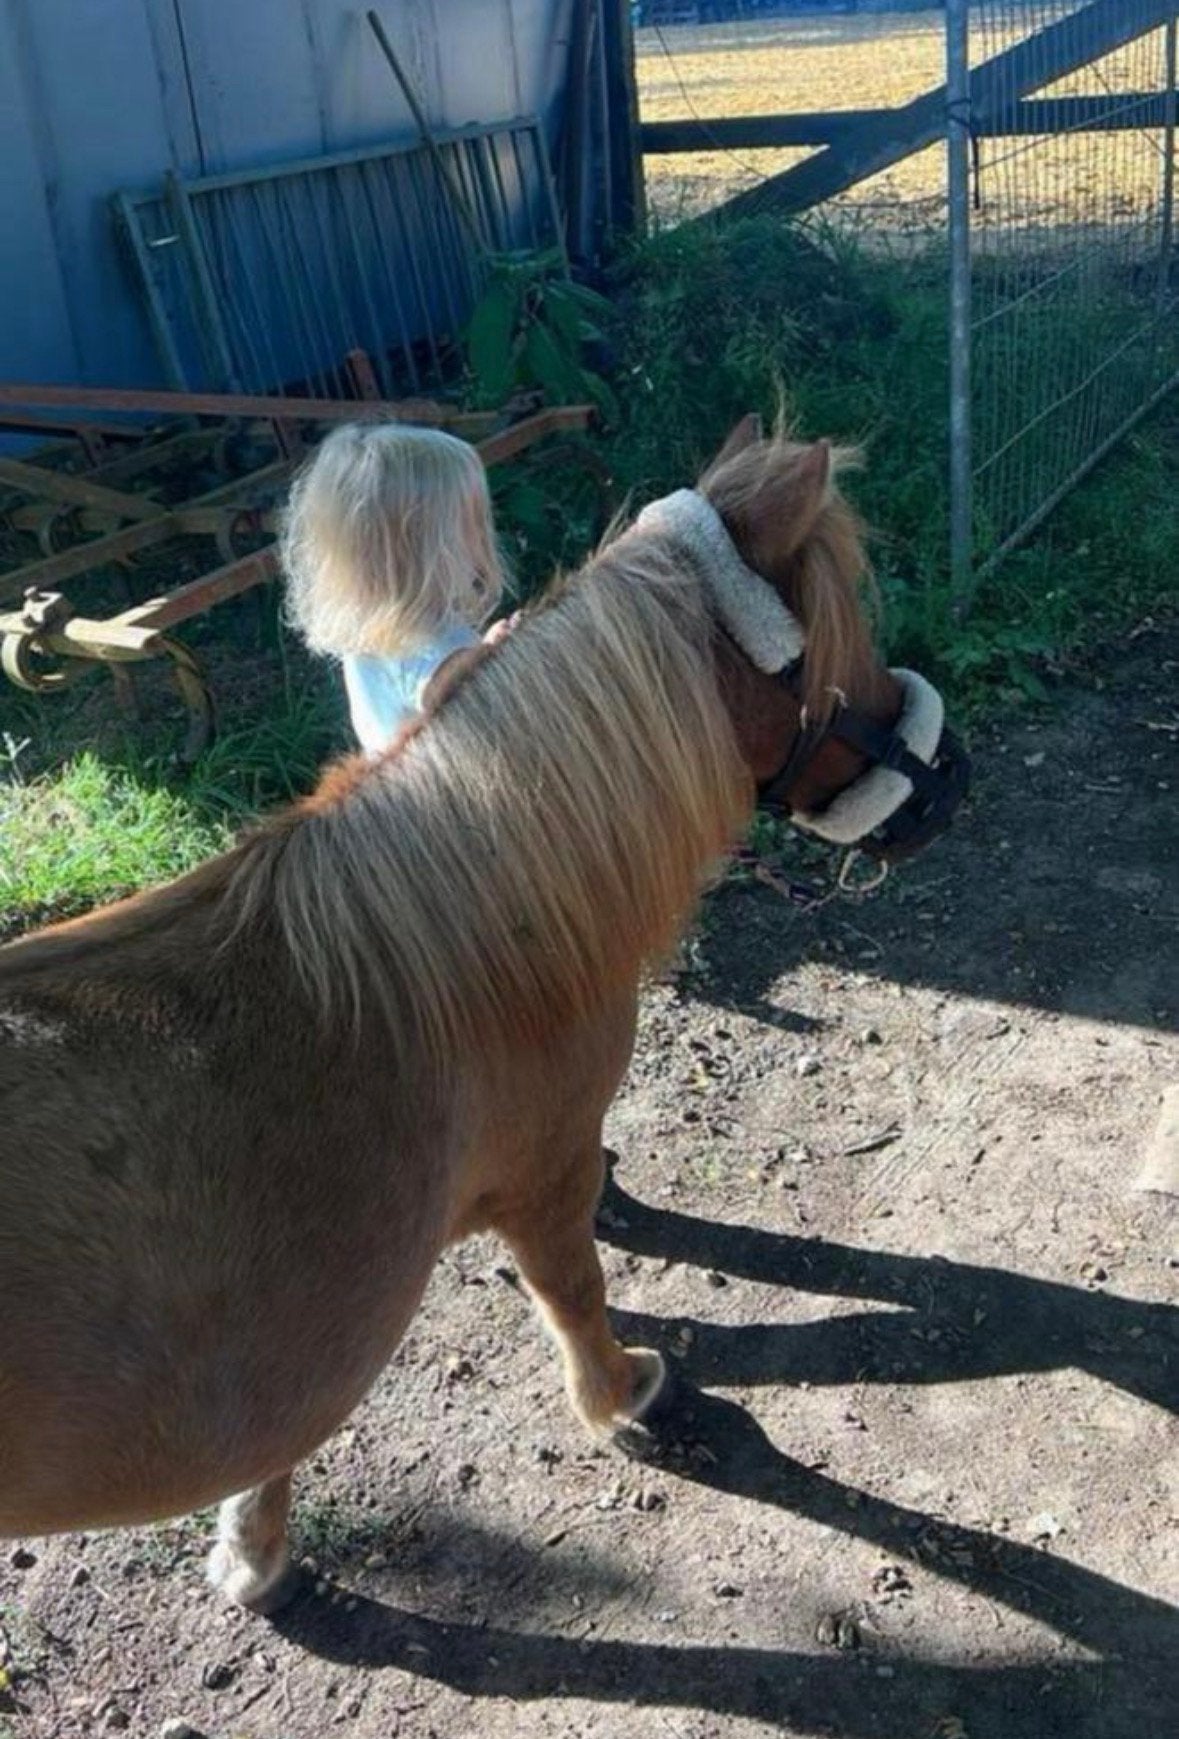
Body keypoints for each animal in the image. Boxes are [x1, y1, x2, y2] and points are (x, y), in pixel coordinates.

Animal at [0, 418, 967, 1610]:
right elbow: (575, 1287)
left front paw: (249, 1548)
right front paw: (624, 1395)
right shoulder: (541, 1180)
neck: (456, 944)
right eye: (842, 640)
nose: (951, 777)